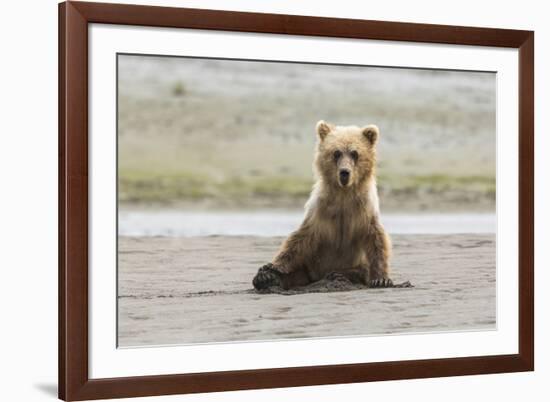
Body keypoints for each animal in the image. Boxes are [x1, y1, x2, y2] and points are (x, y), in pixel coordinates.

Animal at [254, 119, 392, 288]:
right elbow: (300, 239)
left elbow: (376, 239)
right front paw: (272, 266)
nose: (344, 172)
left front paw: (381, 279)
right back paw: (266, 277)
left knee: (359, 270)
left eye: (354, 153)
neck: (343, 194)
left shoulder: (364, 209)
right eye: (336, 152)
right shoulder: (321, 209)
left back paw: (340, 274)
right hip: (309, 267)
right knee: (298, 272)